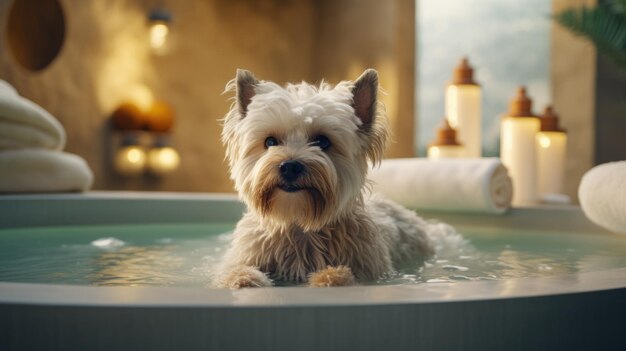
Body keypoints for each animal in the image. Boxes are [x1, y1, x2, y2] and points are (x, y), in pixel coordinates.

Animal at [217, 69, 436, 288]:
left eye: (323, 142)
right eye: (270, 142)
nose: (289, 167)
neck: (299, 222)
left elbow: (341, 275)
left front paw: (329, 277)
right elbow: (233, 271)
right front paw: (245, 278)